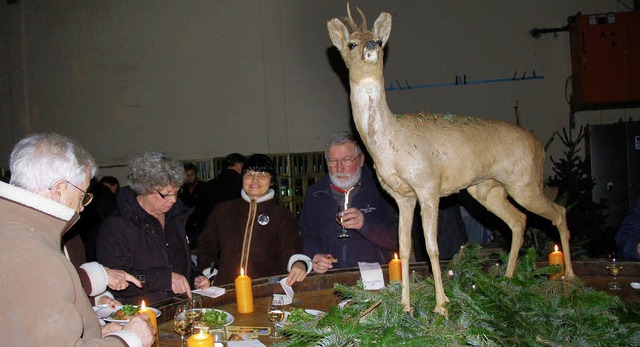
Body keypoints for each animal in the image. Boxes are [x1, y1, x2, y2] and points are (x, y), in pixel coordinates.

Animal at [330, 5, 576, 316]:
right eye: (352, 44)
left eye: (378, 40)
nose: (371, 47)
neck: (390, 142)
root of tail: (538, 145)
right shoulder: (402, 196)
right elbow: (405, 248)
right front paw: (405, 306)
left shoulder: (428, 187)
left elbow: (432, 247)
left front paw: (442, 305)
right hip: (487, 190)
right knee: (519, 221)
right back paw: (508, 280)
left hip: (525, 184)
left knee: (559, 211)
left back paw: (569, 277)